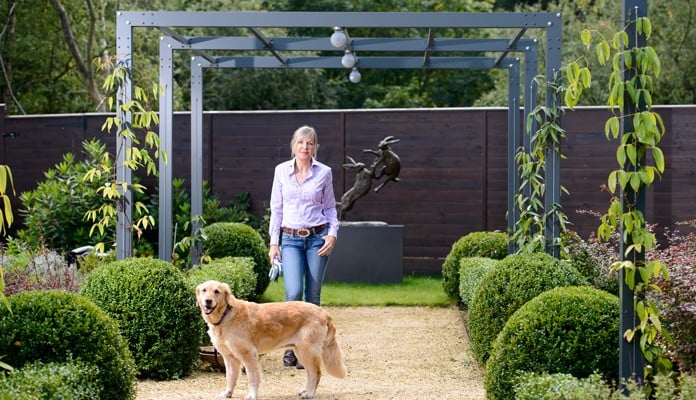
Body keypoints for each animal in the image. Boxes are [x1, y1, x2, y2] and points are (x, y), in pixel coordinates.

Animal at [194, 280, 346, 398]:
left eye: (217, 291)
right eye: (204, 290)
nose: (208, 301)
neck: (226, 315)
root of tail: (324, 312)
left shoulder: (248, 354)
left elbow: (253, 376)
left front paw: (252, 395)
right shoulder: (230, 358)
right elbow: (230, 377)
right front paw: (228, 393)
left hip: (307, 351)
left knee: (316, 373)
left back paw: (310, 394)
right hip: (301, 352)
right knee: (310, 373)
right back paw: (305, 391)